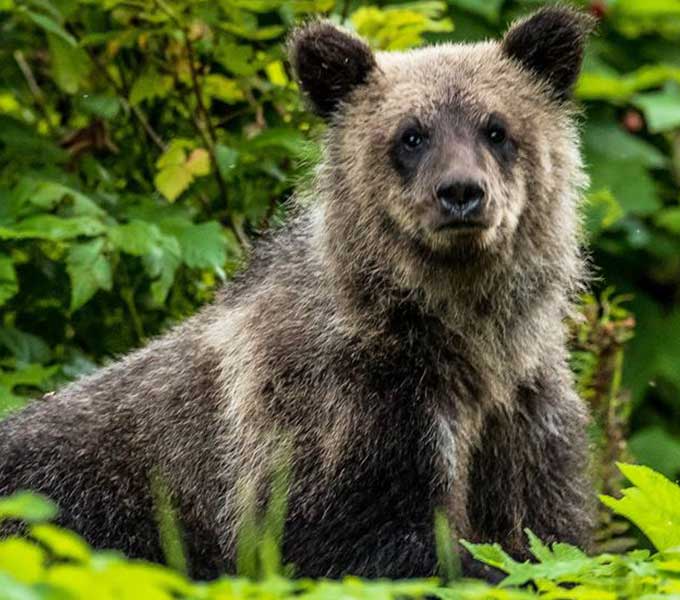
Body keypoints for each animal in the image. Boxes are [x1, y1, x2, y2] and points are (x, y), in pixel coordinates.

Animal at [0, 5, 596, 580]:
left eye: (496, 129)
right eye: (411, 134)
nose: (461, 193)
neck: (461, 333)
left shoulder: (520, 410)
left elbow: (543, 532)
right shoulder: (338, 408)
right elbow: (367, 541)